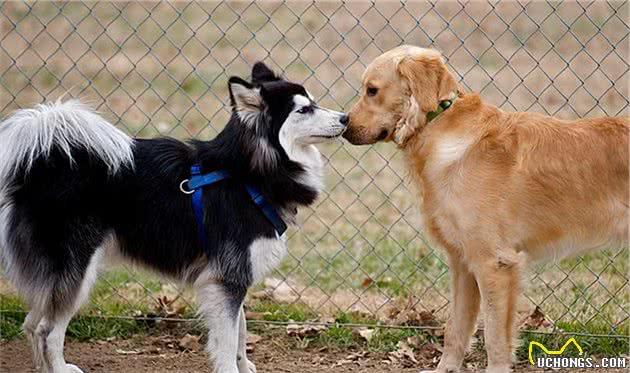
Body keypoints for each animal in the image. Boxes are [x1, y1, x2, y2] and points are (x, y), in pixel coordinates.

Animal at [0, 64, 348, 372]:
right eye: (304, 110)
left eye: (314, 102)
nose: (345, 118)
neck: (247, 174)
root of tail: (42, 164)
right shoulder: (227, 278)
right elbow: (227, 340)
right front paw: (230, 368)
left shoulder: (232, 276)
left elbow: (241, 333)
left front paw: (245, 366)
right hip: (77, 268)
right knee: (47, 330)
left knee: (31, 324)